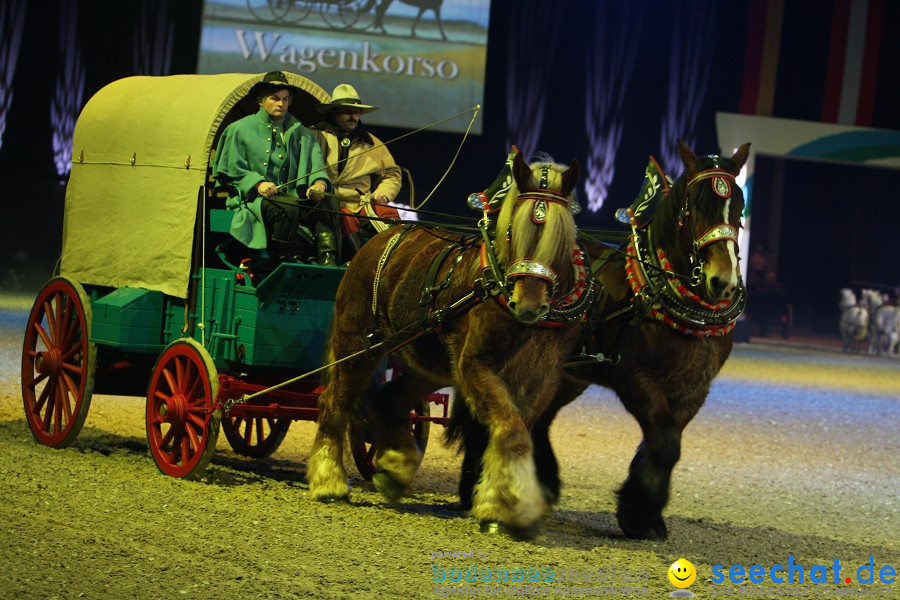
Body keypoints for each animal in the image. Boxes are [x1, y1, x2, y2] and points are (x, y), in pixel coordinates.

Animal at [310, 151, 592, 536]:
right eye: (511, 233)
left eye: (561, 239)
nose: (528, 306)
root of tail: (382, 236)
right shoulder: (475, 365)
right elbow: (512, 432)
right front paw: (509, 505)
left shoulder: (543, 377)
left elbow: (514, 431)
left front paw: (498, 502)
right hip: (356, 346)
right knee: (335, 403)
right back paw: (329, 482)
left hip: (426, 362)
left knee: (389, 401)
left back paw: (394, 470)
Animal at [450, 139, 752, 540]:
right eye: (695, 206)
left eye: (740, 207)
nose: (722, 281)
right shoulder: (635, 378)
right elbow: (664, 440)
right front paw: (638, 514)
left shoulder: (694, 388)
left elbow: (666, 443)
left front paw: (646, 514)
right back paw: (476, 491)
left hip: (567, 376)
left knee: (541, 421)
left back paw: (543, 486)